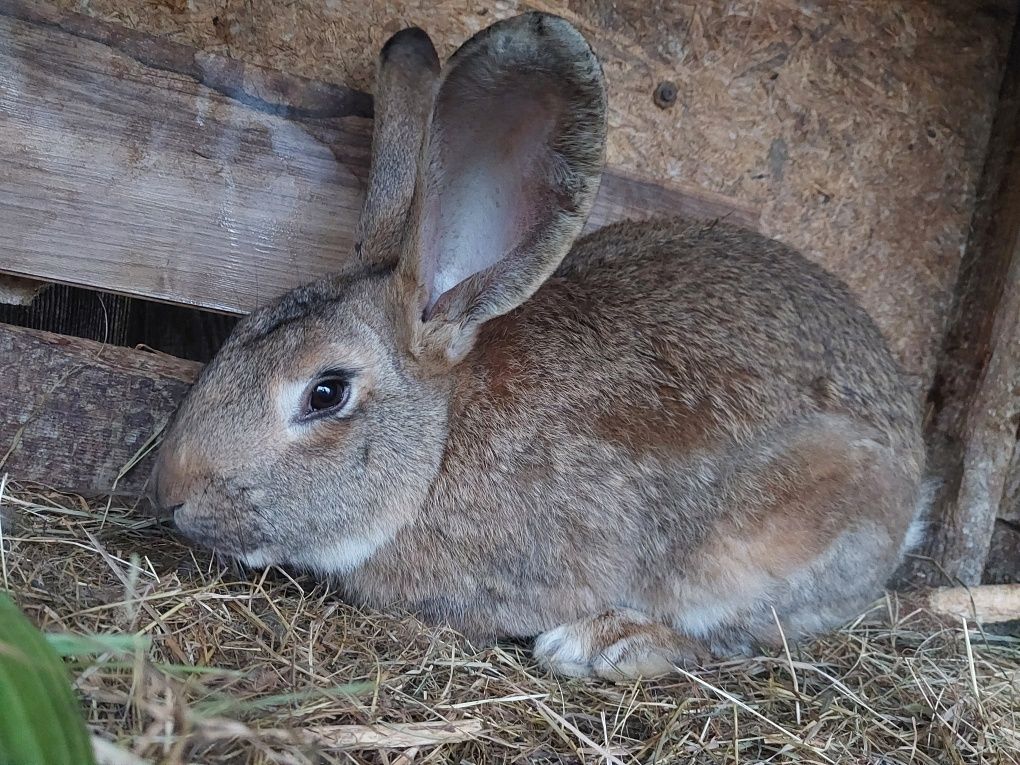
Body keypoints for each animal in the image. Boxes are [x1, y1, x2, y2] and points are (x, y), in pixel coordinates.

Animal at [147, 11, 930, 681]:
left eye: (326, 392)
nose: (169, 491)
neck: (439, 446)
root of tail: (911, 479)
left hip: (766, 542)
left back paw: (605, 644)